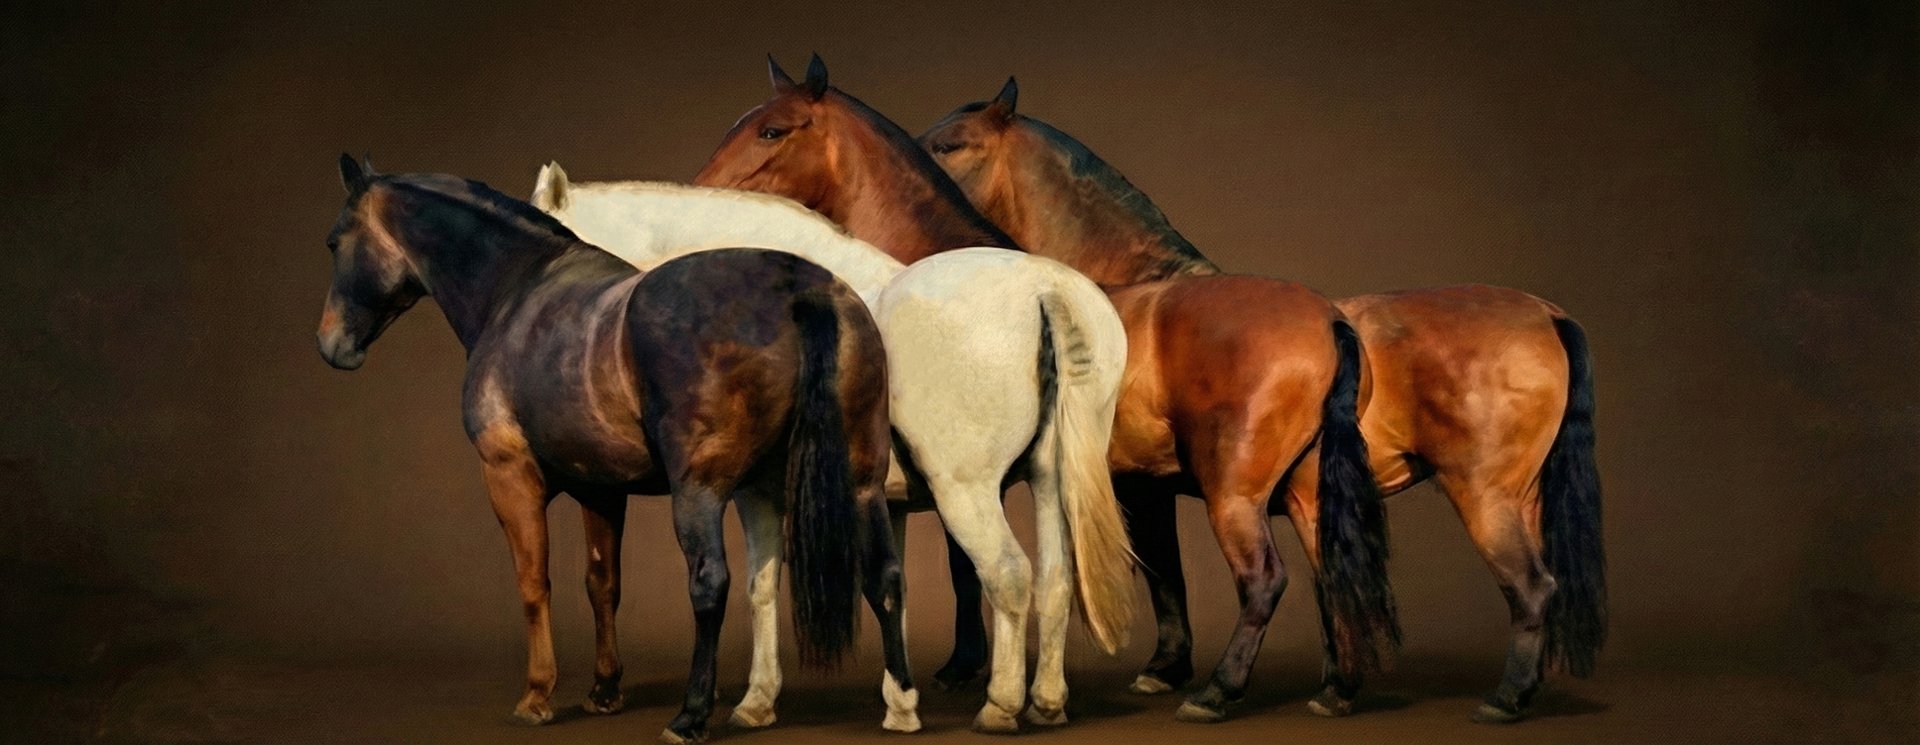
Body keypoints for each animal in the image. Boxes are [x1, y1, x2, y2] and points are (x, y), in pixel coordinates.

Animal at [314, 156, 917, 744]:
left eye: (335, 241)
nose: (331, 345)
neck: (517, 292)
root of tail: (801, 290)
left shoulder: (510, 476)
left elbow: (534, 582)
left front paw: (537, 697)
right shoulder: (600, 490)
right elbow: (602, 583)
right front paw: (604, 692)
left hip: (699, 492)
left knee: (710, 582)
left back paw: (690, 716)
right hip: (859, 482)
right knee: (884, 577)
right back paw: (901, 707)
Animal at [528, 162, 1138, 733]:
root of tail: (1046, 289)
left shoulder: (755, 495)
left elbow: (762, 588)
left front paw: (756, 702)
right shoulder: (888, 505)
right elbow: (892, 590)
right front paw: (898, 699)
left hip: (967, 493)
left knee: (1009, 575)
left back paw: (1000, 706)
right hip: (1049, 481)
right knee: (1055, 581)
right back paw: (1046, 703)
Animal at [694, 55, 1402, 726]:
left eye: (772, 130)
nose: (703, 191)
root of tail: (1329, 320)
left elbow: (973, 572)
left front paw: (971, 672)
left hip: (1235, 497)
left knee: (1265, 581)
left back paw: (1216, 693)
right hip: (1304, 495)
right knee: (1329, 575)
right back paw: (1336, 688)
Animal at [919, 79, 1607, 723]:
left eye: (950, 145)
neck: (1127, 294)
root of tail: (1548, 316)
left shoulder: (1138, 486)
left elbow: (1154, 569)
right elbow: (1176, 574)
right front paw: (1166, 670)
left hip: (1468, 496)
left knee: (1525, 587)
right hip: (1508, 497)